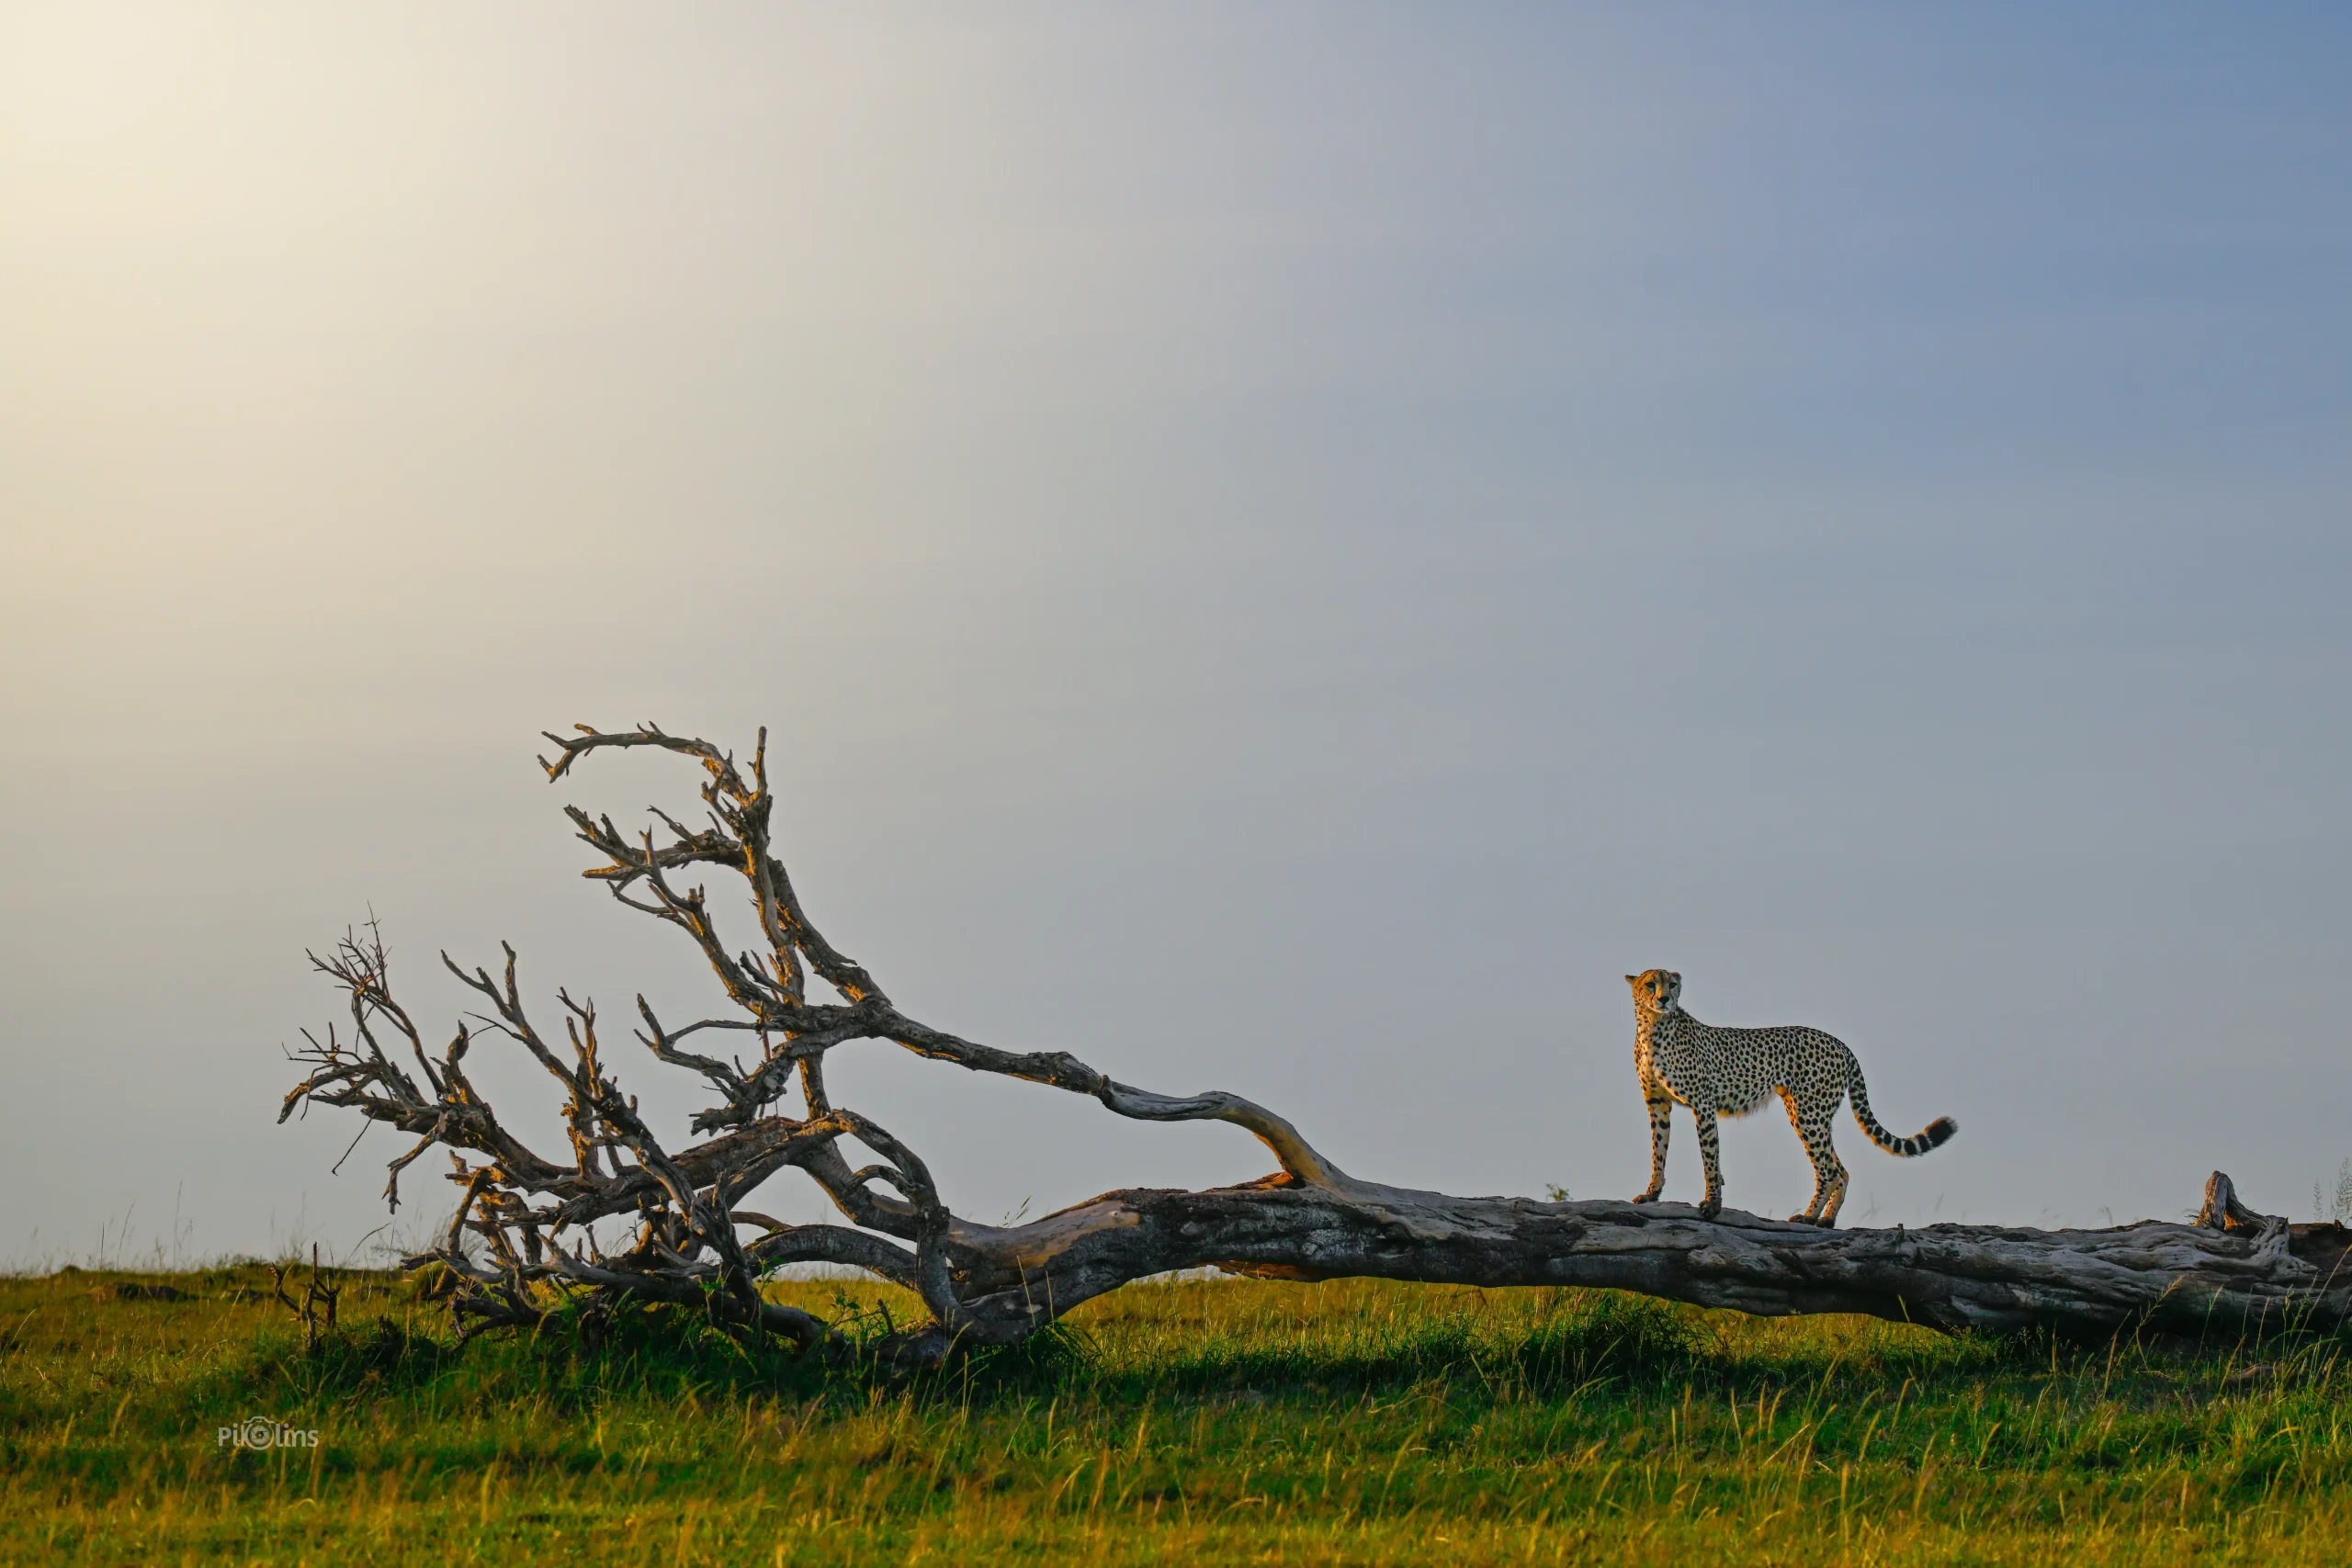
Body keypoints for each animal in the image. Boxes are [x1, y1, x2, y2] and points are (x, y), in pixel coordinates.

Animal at [1625, 969, 1955, 1227]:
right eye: (1650, 984)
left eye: (1672, 984)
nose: (1664, 999)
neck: (1653, 1027)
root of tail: (1839, 1043)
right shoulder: (1658, 1104)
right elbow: (1659, 1149)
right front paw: (1652, 1193)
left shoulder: (1703, 1104)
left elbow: (1709, 1157)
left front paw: (1712, 1205)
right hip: (1806, 1114)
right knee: (1841, 1170)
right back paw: (1826, 1220)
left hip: (1810, 1114)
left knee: (1828, 1169)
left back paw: (1808, 1217)